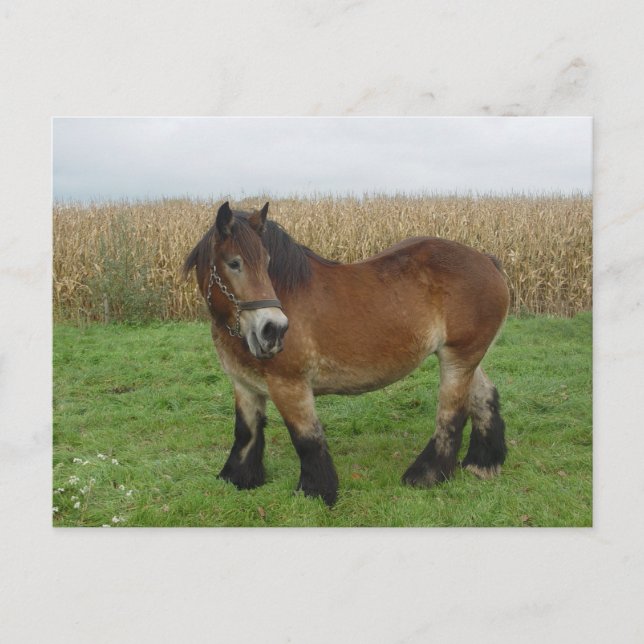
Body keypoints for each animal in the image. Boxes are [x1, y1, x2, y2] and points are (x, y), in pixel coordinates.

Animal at [183, 201, 510, 506]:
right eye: (233, 263)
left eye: (266, 263)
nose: (273, 330)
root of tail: (487, 260)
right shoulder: (244, 385)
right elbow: (246, 432)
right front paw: (237, 479)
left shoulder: (289, 385)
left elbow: (306, 438)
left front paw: (316, 492)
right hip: (465, 358)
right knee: (484, 397)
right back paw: (482, 463)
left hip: (458, 358)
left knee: (451, 413)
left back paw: (426, 475)